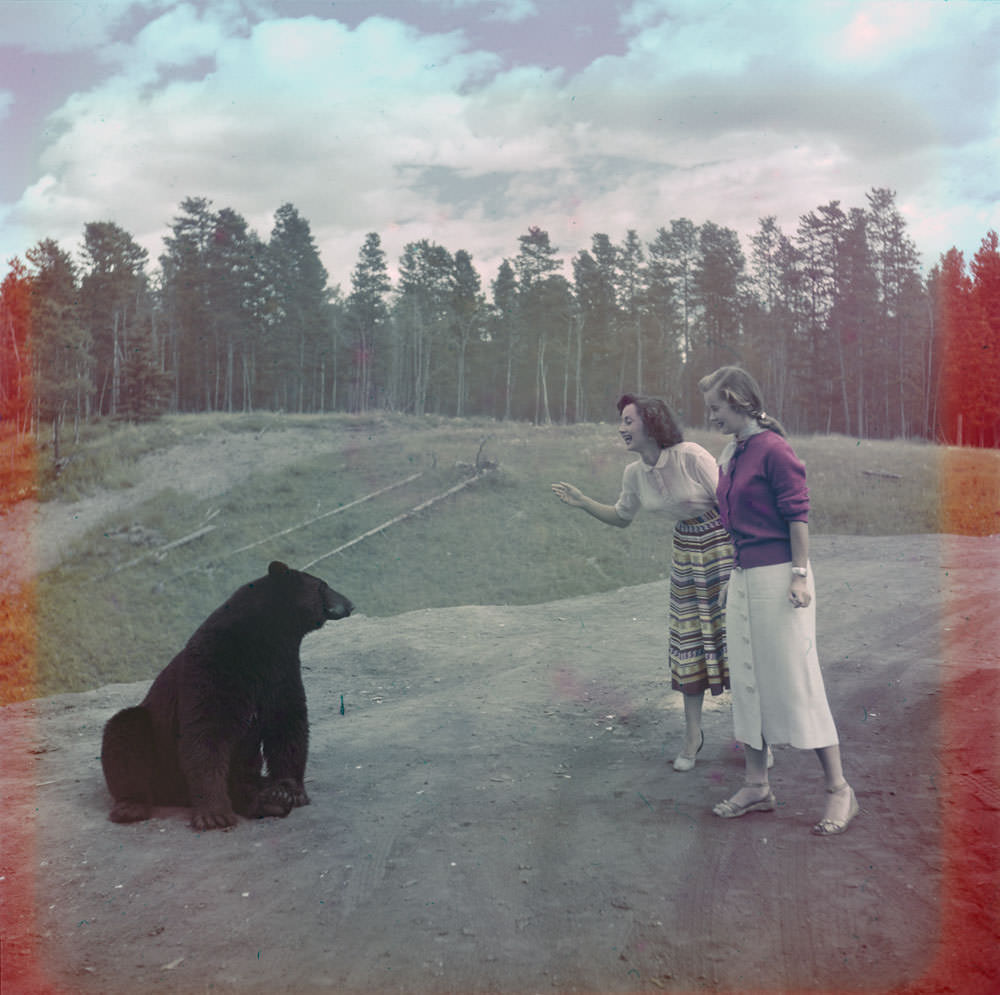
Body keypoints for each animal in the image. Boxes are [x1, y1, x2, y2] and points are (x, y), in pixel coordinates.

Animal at [101, 560, 352, 832]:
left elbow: (287, 722)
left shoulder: (282, 670)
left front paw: (292, 790)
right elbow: (207, 730)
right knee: (125, 732)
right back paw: (131, 806)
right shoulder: (215, 663)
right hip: (158, 750)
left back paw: (272, 798)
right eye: (323, 585)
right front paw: (214, 815)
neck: (267, 638)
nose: (350, 604)